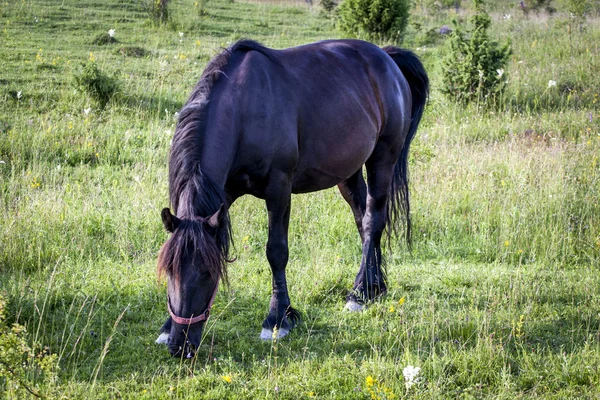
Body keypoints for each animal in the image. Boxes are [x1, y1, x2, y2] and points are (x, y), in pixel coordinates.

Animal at [155, 38, 426, 356]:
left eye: (209, 273)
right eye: (169, 271)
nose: (181, 346)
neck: (243, 110)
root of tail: (387, 58)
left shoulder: (279, 189)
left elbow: (276, 251)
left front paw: (277, 318)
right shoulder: (225, 194)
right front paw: (165, 328)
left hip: (382, 159)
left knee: (374, 221)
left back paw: (358, 294)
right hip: (348, 172)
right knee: (363, 219)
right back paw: (374, 287)